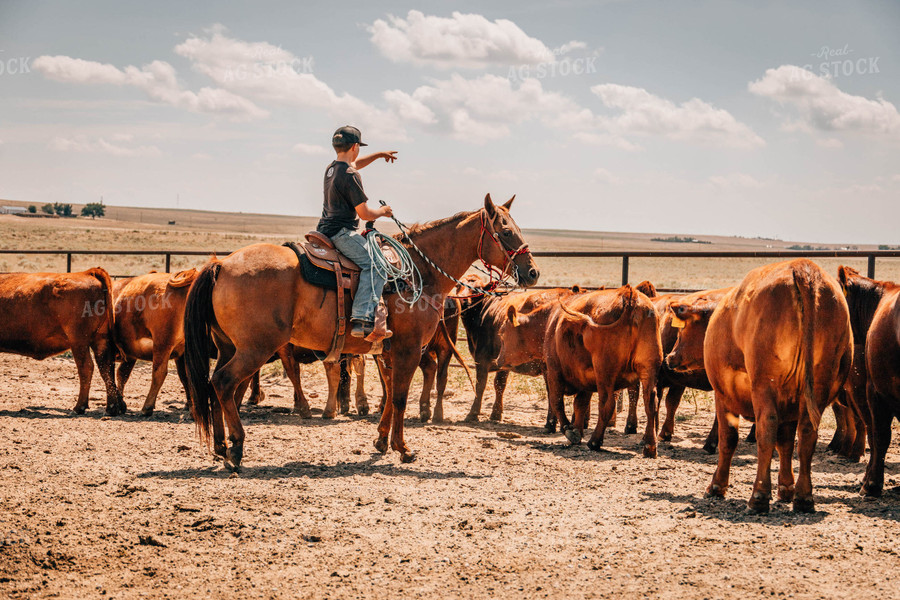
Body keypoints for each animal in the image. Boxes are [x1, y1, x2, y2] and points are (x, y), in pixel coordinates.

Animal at [0, 270, 122, 414]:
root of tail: (88, 272)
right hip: (100, 340)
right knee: (106, 367)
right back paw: (112, 407)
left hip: (79, 341)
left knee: (86, 367)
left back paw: (79, 407)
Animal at [182, 195, 536, 466]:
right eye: (505, 231)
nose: (532, 272)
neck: (418, 274)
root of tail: (221, 265)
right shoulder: (408, 349)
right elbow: (400, 397)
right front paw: (403, 448)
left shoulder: (390, 352)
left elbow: (390, 392)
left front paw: (382, 441)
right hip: (255, 348)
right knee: (223, 382)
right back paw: (237, 447)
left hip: (231, 347)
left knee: (215, 385)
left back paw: (220, 446)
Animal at [540, 284, 660, 454]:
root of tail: (630, 296)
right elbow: (580, 404)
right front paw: (577, 430)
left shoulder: (553, 370)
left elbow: (557, 401)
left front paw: (570, 430)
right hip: (648, 368)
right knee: (650, 402)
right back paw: (650, 446)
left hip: (605, 372)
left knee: (607, 404)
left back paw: (595, 441)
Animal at [668, 260, 852, 512]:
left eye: (682, 329)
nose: (669, 357)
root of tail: (802, 267)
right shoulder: (790, 403)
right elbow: (785, 443)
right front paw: (786, 488)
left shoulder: (723, 395)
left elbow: (728, 438)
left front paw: (717, 486)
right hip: (818, 388)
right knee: (806, 434)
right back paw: (803, 497)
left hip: (765, 386)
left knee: (766, 429)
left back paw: (759, 496)